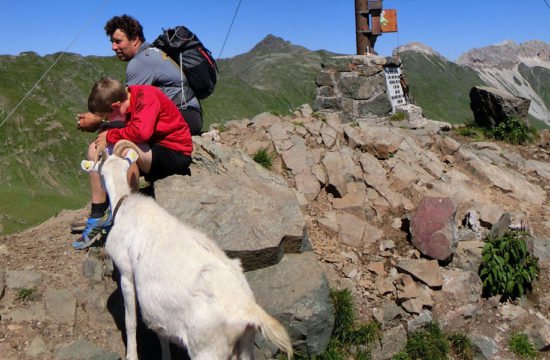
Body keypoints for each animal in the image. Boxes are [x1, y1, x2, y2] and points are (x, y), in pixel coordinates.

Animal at [81, 141, 294, 360]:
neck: (124, 205)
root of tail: (248, 309)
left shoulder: (126, 272)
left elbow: (130, 321)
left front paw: (131, 355)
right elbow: (161, 333)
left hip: (208, 350)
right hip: (245, 346)